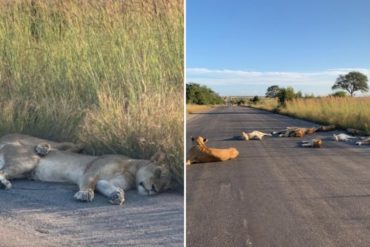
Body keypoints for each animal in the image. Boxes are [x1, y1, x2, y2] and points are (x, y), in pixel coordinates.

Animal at [0, 134, 173, 206]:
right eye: (158, 172)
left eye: (164, 187)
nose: (154, 189)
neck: (131, 170)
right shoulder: (92, 170)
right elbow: (88, 183)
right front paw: (85, 194)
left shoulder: (104, 180)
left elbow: (108, 186)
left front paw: (117, 196)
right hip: (27, 161)